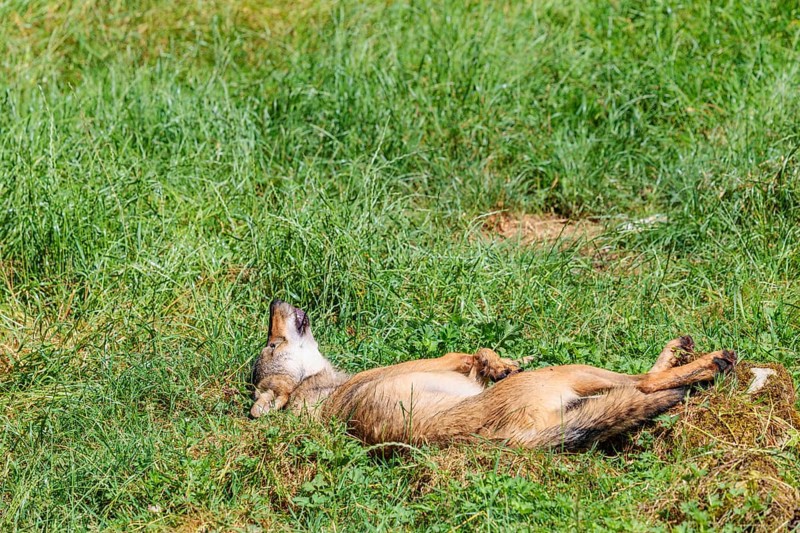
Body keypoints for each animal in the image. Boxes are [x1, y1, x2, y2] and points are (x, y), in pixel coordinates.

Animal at [250, 299, 736, 450]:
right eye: (271, 346)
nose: (273, 300)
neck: (320, 388)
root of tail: (508, 440)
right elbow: (466, 351)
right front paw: (498, 364)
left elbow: (480, 352)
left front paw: (499, 363)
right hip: (570, 372)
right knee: (646, 383)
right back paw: (710, 360)